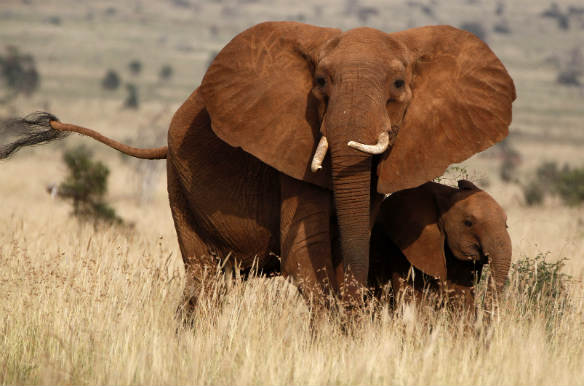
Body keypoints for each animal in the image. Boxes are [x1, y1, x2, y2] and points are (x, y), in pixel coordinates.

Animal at [370, 179, 512, 310]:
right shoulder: (403, 248)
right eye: (468, 223)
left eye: (506, 225)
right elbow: (412, 299)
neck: (447, 196)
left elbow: (462, 298)